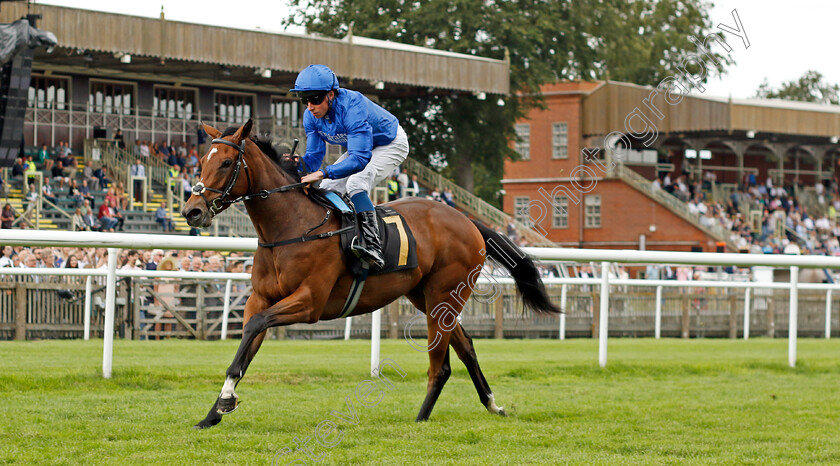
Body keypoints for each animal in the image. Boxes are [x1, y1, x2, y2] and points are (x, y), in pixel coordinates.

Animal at [182, 120, 556, 430]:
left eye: (226, 163)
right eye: (201, 163)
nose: (191, 211)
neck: (291, 228)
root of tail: (466, 220)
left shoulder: (309, 302)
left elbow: (256, 326)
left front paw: (225, 400)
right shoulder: (261, 298)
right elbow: (246, 344)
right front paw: (214, 411)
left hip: (445, 294)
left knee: (441, 363)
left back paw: (421, 418)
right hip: (424, 295)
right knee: (466, 347)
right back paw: (493, 405)